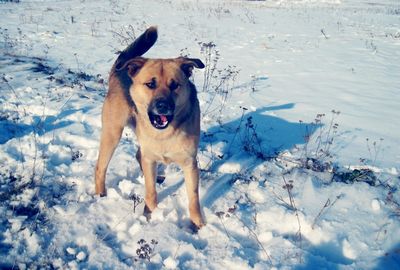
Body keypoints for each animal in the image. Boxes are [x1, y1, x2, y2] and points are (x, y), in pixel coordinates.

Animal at [94, 26, 206, 229]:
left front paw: (198, 224)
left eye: (175, 85)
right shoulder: (151, 159)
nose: (162, 106)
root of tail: (121, 69)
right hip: (112, 133)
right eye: (150, 84)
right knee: (100, 167)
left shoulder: (189, 163)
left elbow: (193, 198)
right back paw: (100, 195)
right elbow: (151, 191)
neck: (165, 134)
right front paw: (152, 215)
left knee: (138, 154)